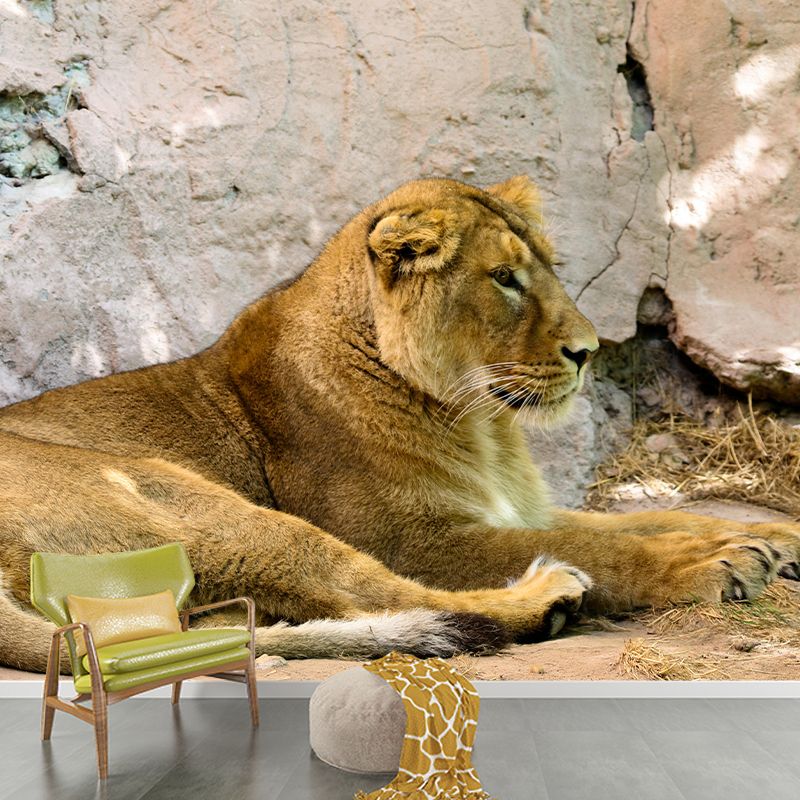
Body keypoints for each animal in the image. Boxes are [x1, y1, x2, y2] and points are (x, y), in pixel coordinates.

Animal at [1, 175, 798, 674]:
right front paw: (721, 564)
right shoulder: (413, 536)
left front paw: (774, 535)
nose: (588, 350)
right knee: (384, 595)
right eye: (504, 279)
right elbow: (606, 547)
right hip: (185, 500)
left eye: (547, 269)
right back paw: (544, 599)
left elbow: (651, 518)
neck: (481, 425)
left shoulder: (516, 508)